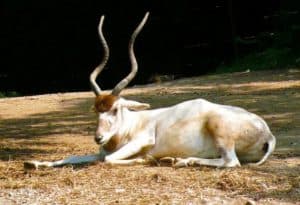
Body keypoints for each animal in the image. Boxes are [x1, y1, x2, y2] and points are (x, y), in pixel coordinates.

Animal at [24, 11, 276, 170]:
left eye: (115, 109)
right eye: (96, 110)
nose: (99, 137)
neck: (131, 124)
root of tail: (267, 132)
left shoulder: (142, 141)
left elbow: (109, 160)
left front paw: (144, 160)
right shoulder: (100, 151)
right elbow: (74, 156)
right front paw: (35, 163)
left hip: (220, 131)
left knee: (231, 162)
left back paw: (180, 161)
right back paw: (175, 160)